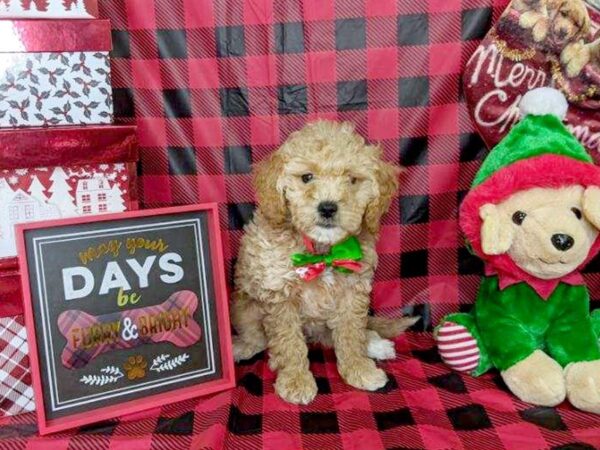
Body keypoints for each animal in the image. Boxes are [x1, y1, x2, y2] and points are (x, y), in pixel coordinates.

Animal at [232, 120, 414, 404]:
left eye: (352, 180)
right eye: (307, 177)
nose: (328, 208)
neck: (322, 251)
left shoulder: (353, 291)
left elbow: (351, 334)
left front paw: (358, 369)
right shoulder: (279, 296)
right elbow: (289, 342)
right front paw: (296, 381)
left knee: (351, 333)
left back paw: (376, 344)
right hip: (244, 307)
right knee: (257, 339)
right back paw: (240, 348)